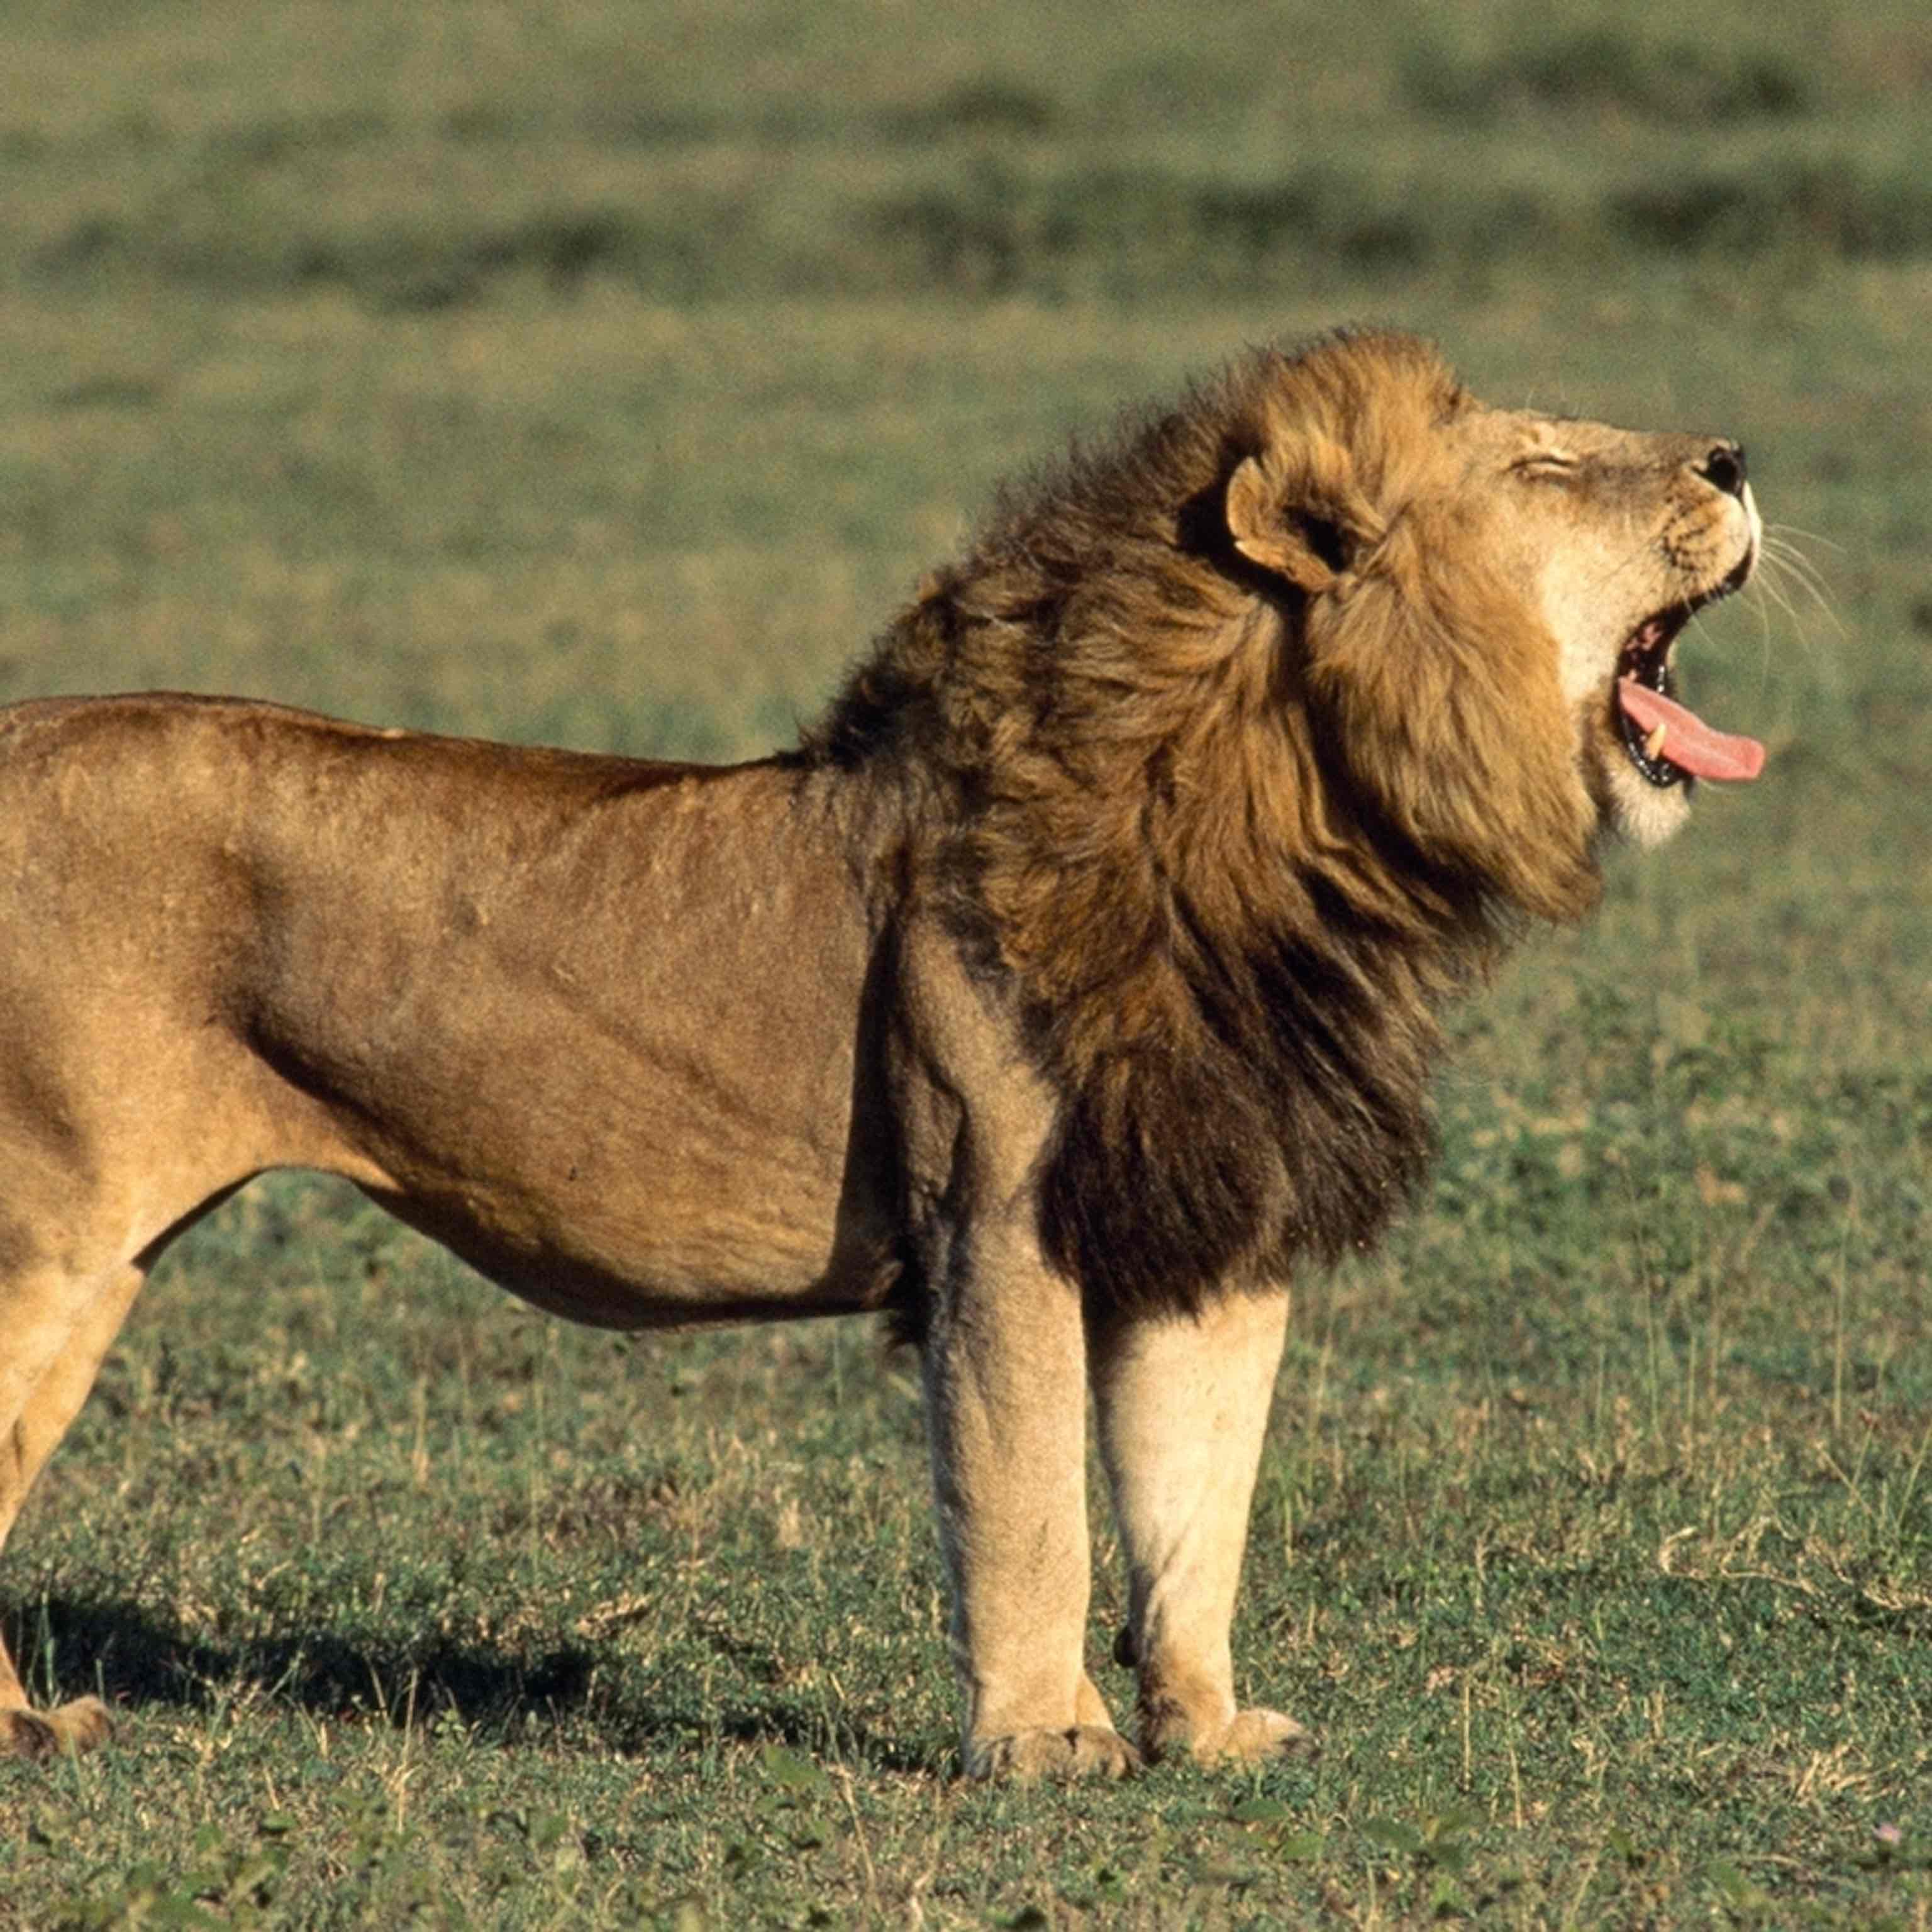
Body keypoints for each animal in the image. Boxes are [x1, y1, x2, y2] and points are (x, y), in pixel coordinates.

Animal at [0, 330, 1763, 1775]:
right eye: (1544, 466)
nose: (1739, 457)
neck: (1290, 834)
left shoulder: (1207, 1211)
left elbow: (1195, 1501)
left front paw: (1204, 1731)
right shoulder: (997, 1214)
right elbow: (1032, 1497)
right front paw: (1046, 1744)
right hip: (58, 1235)